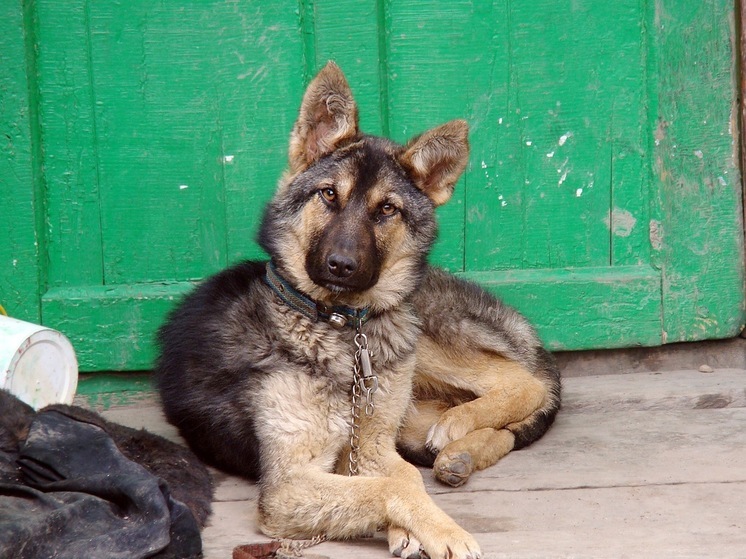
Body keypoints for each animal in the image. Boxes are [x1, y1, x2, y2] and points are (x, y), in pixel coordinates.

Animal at [154, 61, 556, 559]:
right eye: (328, 195)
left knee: (522, 381)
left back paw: (458, 427)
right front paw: (428, 530)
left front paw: (425, 527)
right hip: (412, 413)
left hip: (419, 336)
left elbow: (400, 480)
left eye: (387, 209)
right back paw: (460, 451)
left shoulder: (367, 443)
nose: (341, 266)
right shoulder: (295, 481)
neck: (338, 328)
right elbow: (392, 484)